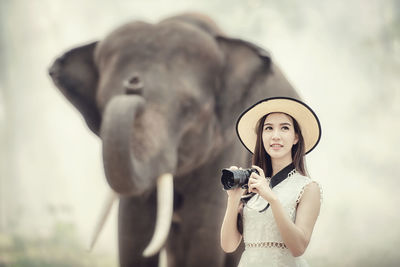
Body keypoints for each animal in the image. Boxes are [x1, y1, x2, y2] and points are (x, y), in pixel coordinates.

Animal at [47, 11, 296, 266]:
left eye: (188, 108)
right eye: (102, 104)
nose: (133, 83)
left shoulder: (225, 145)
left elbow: (202, 238)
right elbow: (133, 235)